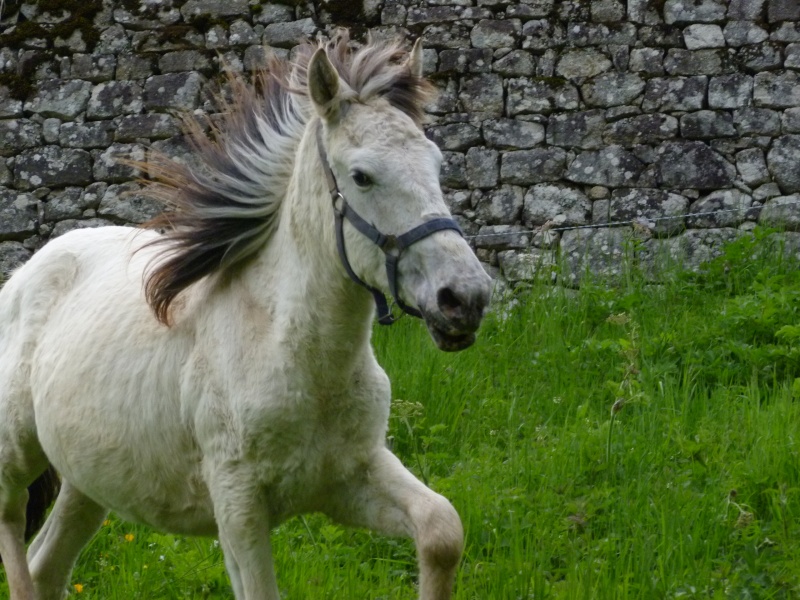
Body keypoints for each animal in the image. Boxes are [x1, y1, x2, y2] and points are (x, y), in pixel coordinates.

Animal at [0, 34, 490, 600]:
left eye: (437, 165)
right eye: (363, 176)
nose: (466, 298)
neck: (293, 355)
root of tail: (23, 274)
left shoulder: (352, 477)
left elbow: (441, 530)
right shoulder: (239, 509)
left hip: (87, 481)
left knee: (47, 566)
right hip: (15, 454)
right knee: (13, 534)